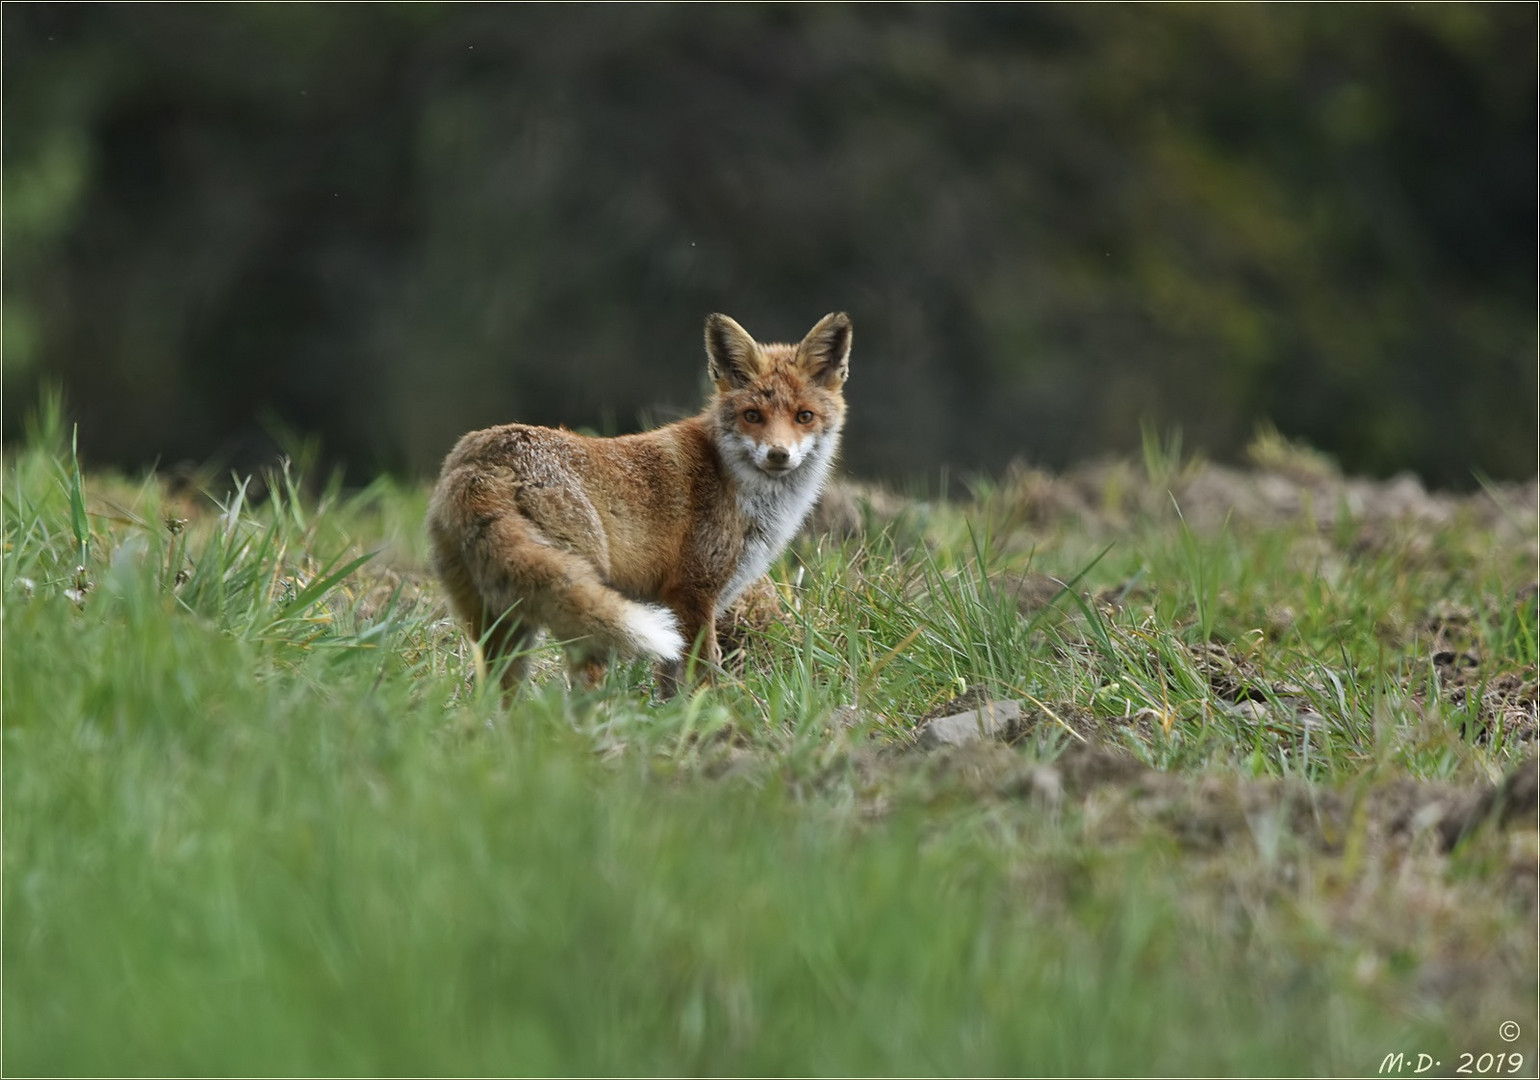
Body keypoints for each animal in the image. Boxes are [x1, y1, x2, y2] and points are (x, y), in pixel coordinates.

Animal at [428, 309, 850, 690]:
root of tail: (487, 456)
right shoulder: (693, 593)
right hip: (577, 603)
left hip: (497, 620)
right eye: (753, 416)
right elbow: (703, 676)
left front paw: (672, 721)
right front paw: (713, 715)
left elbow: (669, 683)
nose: (778, 455)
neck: (735, 483)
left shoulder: (682, 606)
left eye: (804, 416)